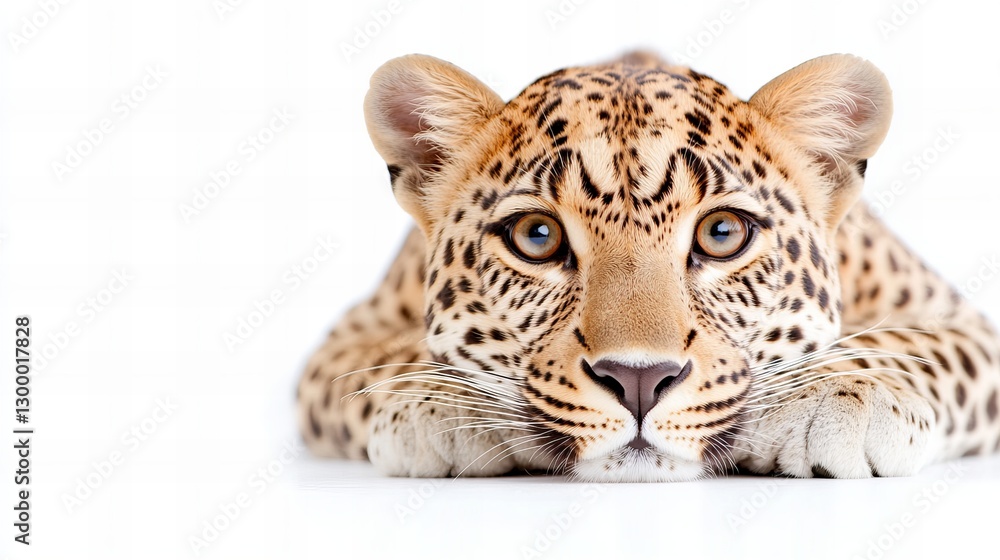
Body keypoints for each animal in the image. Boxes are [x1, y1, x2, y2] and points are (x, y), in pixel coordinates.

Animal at [296, 52, 1000, 482]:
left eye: (722, 234)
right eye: (536, 236)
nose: (638, 380)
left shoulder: (957, 319)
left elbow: (909, 343)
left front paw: (839, 395)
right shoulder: (341, 345)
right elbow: (389, 362)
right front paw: (444, 400)